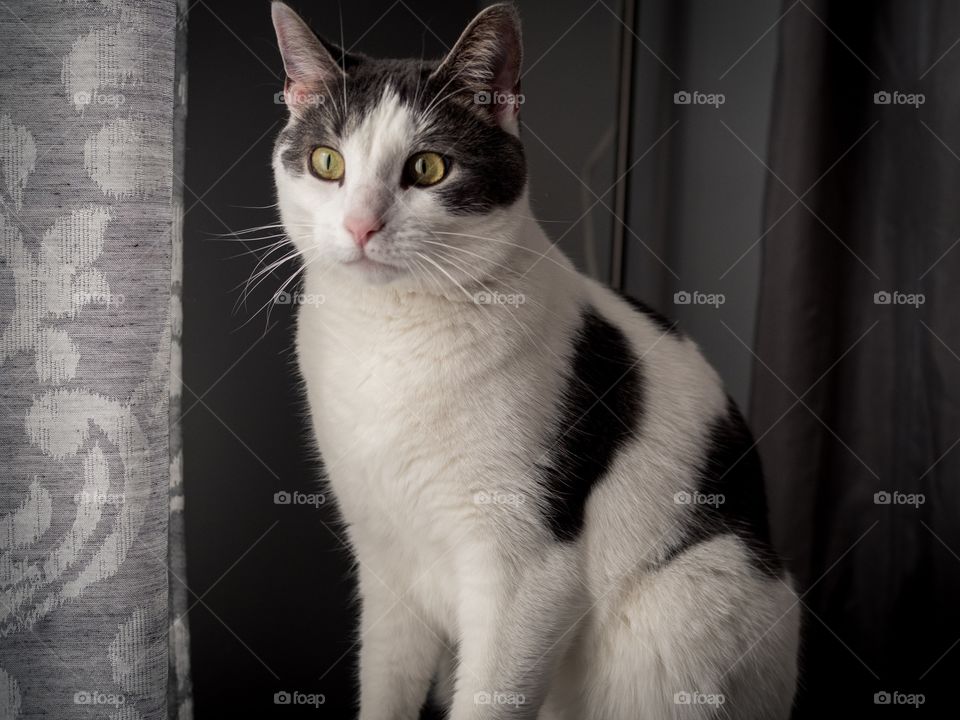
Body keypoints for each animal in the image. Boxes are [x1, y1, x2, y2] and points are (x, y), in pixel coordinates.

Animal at [268, 2, 796, 716]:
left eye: (428, 169)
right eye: (327, 162)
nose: (360, 226)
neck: (389, 331)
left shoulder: (526, 575)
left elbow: (489, 695)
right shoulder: (385, 564)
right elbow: (386, 686)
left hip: (690, 599)